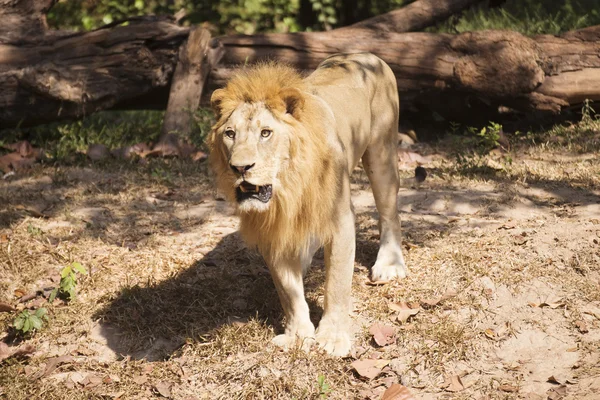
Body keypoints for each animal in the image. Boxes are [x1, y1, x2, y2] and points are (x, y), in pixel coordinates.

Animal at [207, 53, 408, 356]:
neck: (289, 184)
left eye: (266, 133)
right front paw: (297, 335)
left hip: (381, 153)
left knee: (389, 213)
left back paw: (390, 264)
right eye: (230, 134)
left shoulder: (340, 220)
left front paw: (332, 338)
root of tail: (364, 55)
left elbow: (336, 284)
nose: (239, 168)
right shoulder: (273, 228)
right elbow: (288, 291)